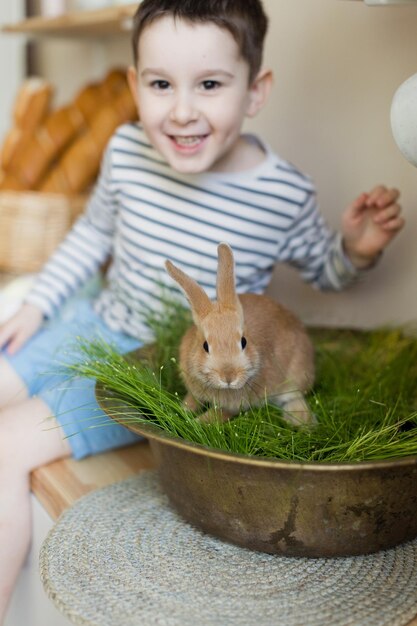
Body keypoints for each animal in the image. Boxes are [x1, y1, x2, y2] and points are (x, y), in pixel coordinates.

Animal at [164, 240, 314, 424]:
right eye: (205, 346)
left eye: (243, 342)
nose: (229, 377)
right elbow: (192, 400)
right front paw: (181, 411)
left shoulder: (232, 407)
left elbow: (216, 416)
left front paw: (194, 422)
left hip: (296, 373)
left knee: (295, 395)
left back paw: (301, 421)